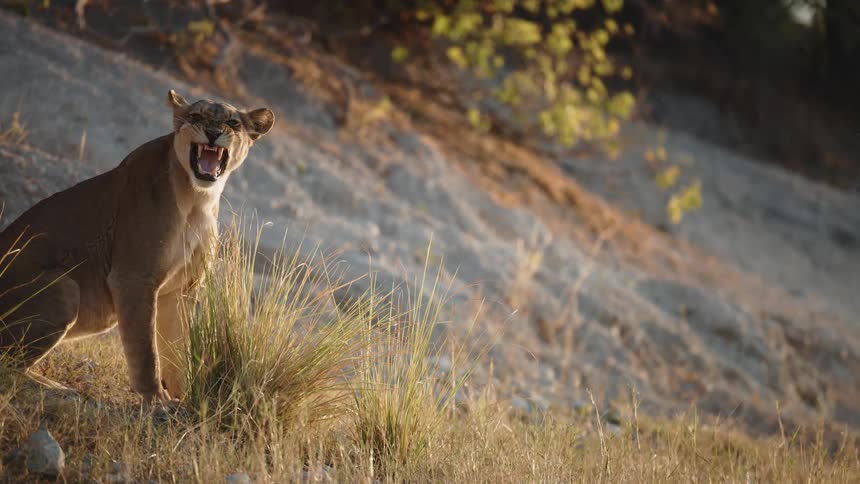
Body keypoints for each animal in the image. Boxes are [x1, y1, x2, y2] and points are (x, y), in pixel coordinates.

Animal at [0, 90, 274, 403]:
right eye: (195, 116)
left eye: (232, 123)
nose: (213, 133)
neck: (198, 199)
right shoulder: (134, 277)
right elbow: (146, 350)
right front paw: (156, 400)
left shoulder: (182, 289)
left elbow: (178, 350)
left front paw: (183, 399)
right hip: (65, 287)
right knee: (8, 367)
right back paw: (58, 389)